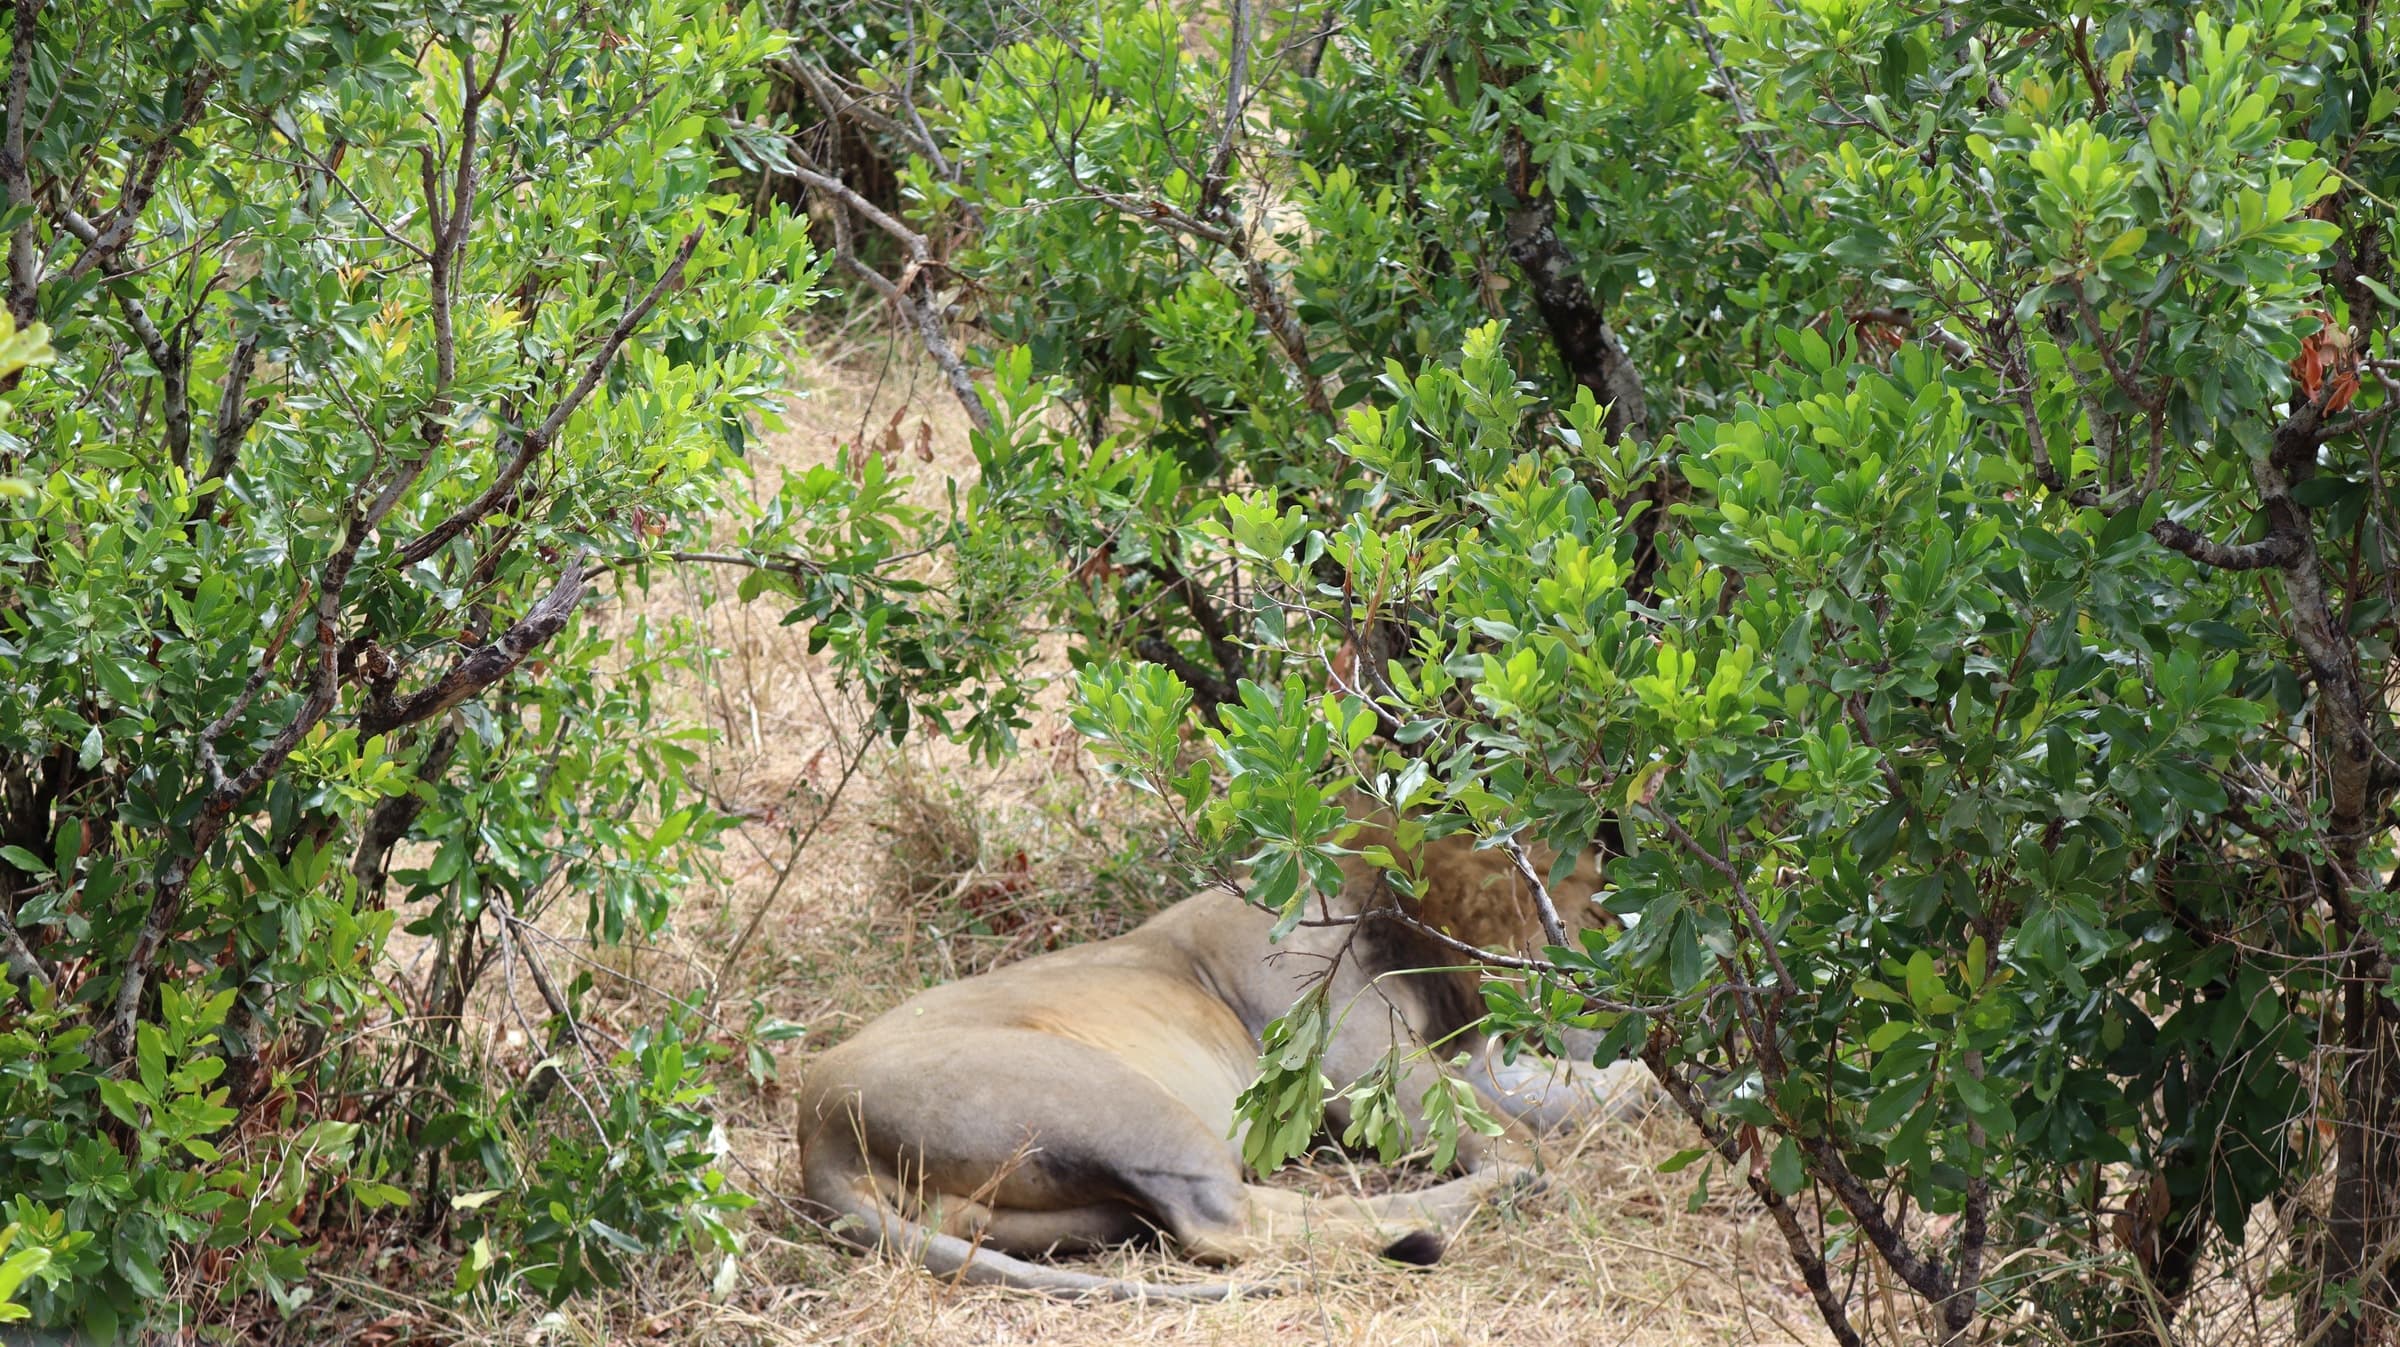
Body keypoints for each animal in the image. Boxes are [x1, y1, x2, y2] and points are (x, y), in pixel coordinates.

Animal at [793, 811, 1651, 1300]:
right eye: (1598, 911)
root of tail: (817, 1135)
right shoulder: (1371, 1075)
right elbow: (1519, 1131)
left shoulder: (1462, 1056)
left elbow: (1588, 1093)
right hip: (1118, 1102)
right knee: (1224, 1219)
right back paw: (1462, 1209)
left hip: (1049, 1208)